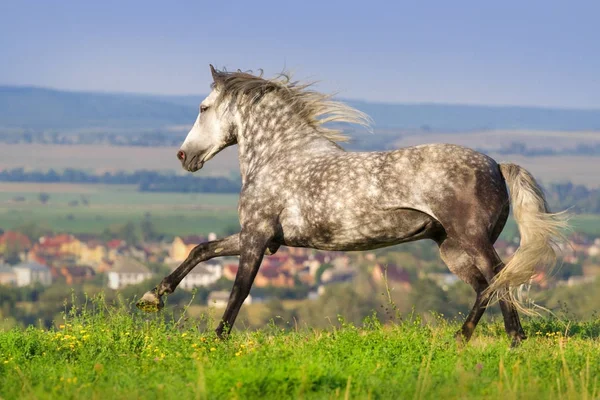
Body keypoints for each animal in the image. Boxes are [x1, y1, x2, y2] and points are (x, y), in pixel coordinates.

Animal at [138, 65, 568, 346]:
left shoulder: (257, 236)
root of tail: (496, 165)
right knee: (487, 286)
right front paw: (152, 298)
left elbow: (240, 288)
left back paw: (496, 338)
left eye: (203, 107)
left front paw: (218, 338)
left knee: (500, 278)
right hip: (452, 249)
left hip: (472, 240)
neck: (279, 156)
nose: (183, 156)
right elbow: (202, 250)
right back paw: (480, 339)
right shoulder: (258, 236)